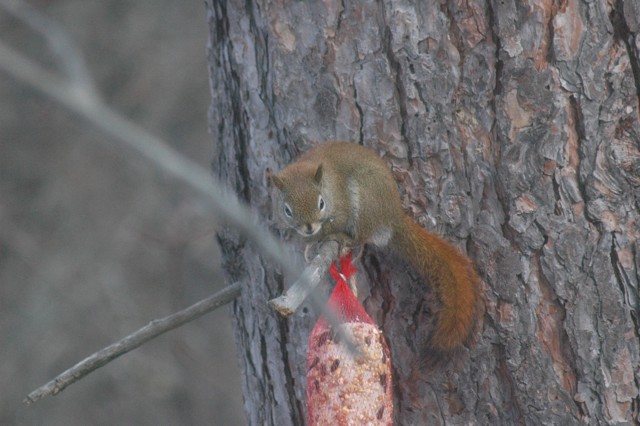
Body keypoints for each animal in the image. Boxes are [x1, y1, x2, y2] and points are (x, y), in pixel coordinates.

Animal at [269, 141, 481, 359]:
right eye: (287, 210)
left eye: (321, 203)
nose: (309, 227)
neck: (329, 187)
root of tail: (392, 217)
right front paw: (310, 242)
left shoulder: (341, 208)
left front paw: (324, 237)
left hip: (365, 203)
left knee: (361, 236)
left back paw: (343, 238)